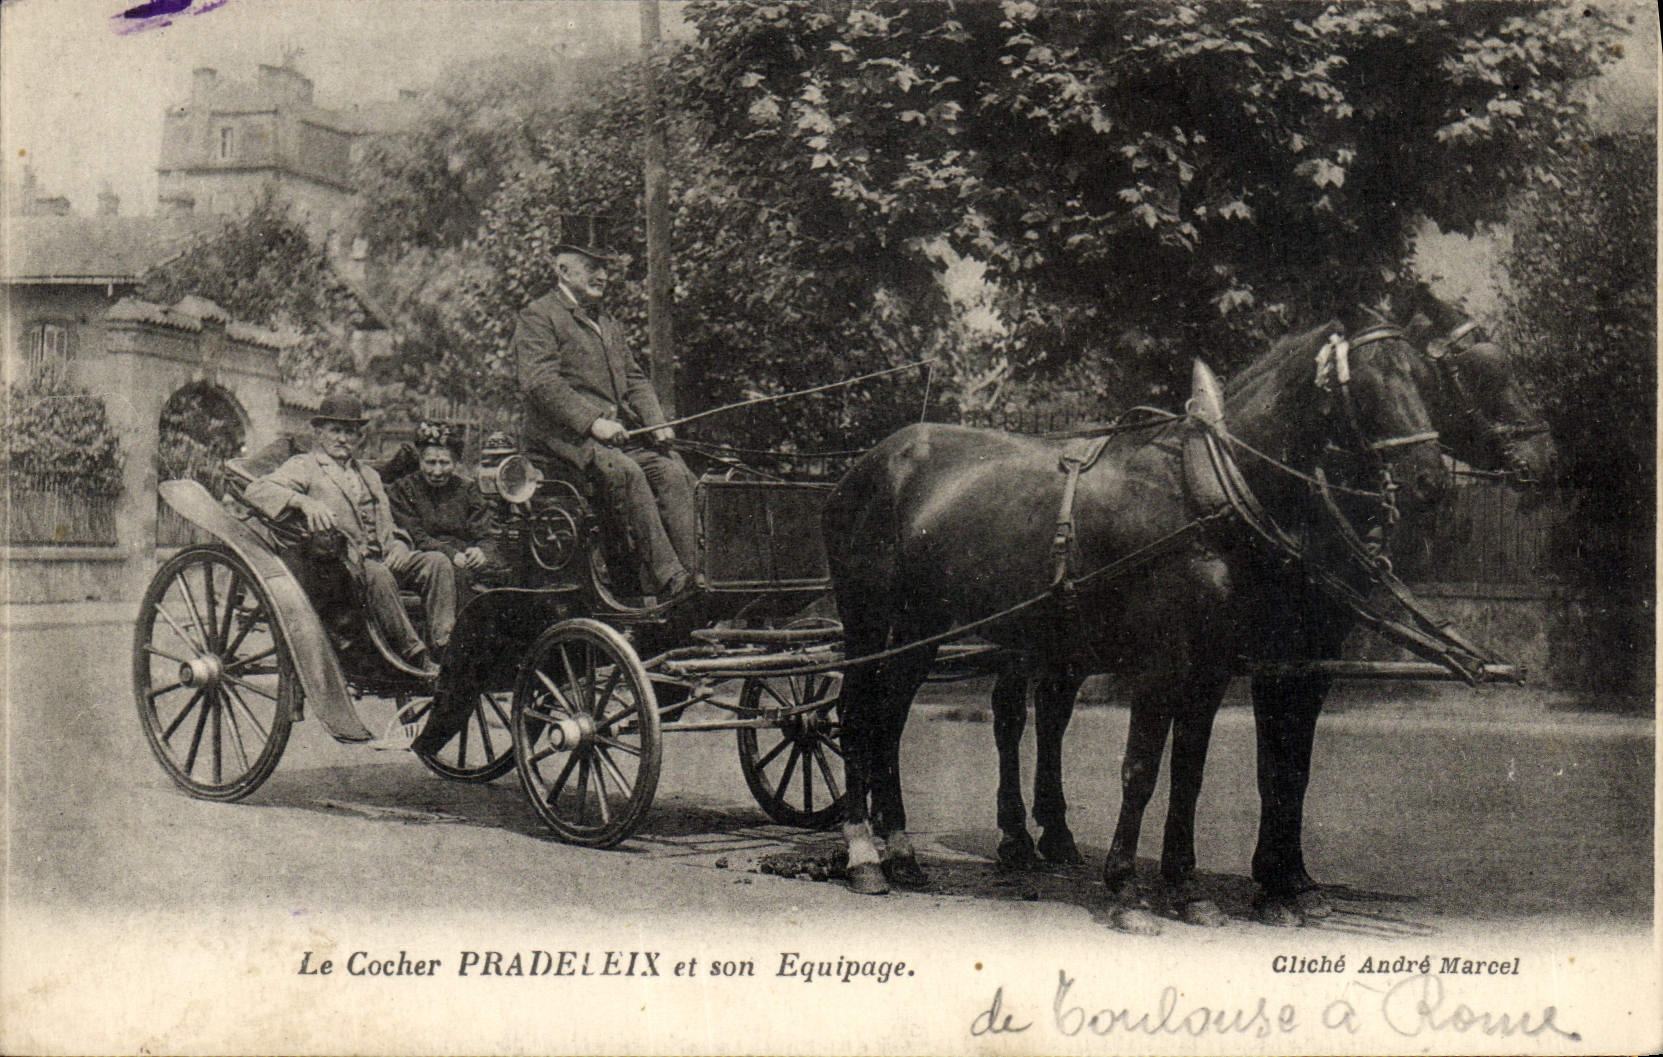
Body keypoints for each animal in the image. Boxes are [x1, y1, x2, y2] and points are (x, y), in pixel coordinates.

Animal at [821, 319, 1451, 914]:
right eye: (1364, 384)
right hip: (868, 623)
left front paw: (1190, 889)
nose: (1432, 479)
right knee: (855, 717)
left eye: (1425, 378)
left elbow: (1195, 773)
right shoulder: (1165, 661)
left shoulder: (1216, 667)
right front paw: (1128, 888)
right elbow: (1144, 768)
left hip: (923, 628)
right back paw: (865, 856)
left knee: (892, 721)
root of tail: (872, 462)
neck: (1205, 489)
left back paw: (905, 854)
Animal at [986, 298, 1558, 929]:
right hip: (1017, 640)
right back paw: (1016, 838)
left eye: (1426, 381)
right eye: (1474, 374)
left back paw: (1057, 835)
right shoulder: (1266, 658)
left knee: (1052, 713)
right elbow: (1265, 766)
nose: (1544, 458)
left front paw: (1292, 882)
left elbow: (1292, 767)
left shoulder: (1310, 658)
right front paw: (1271, 884)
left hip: (1066, 644)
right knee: (1011, 715)